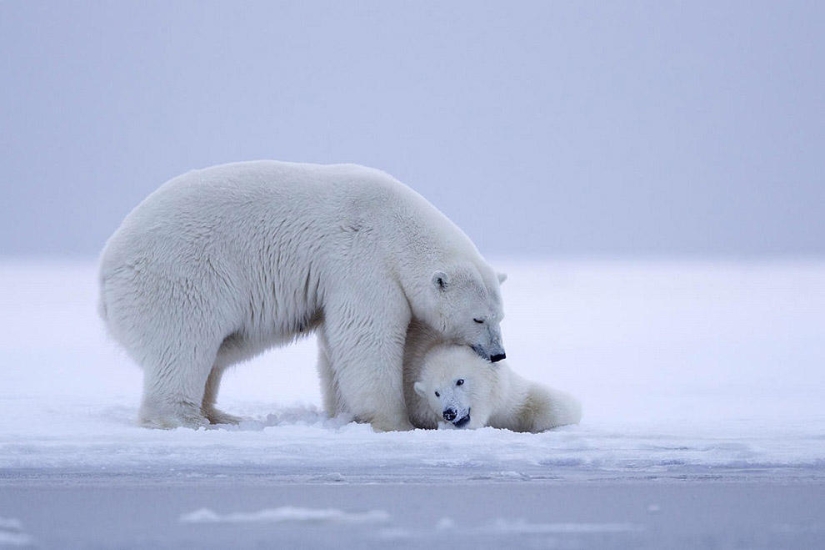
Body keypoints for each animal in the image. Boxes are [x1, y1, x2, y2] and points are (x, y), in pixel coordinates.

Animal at [98, 160, 506, 431]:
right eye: (478, 318)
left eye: (500, 317)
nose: (498, 354)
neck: (395, 224)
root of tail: (106, 272)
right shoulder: (362, 260)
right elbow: (365, 337)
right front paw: (395, 421)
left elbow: (335, 348)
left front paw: (344, 413)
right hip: (180, 276)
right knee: (185, 342)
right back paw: (185, 418)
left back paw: (219, 414)